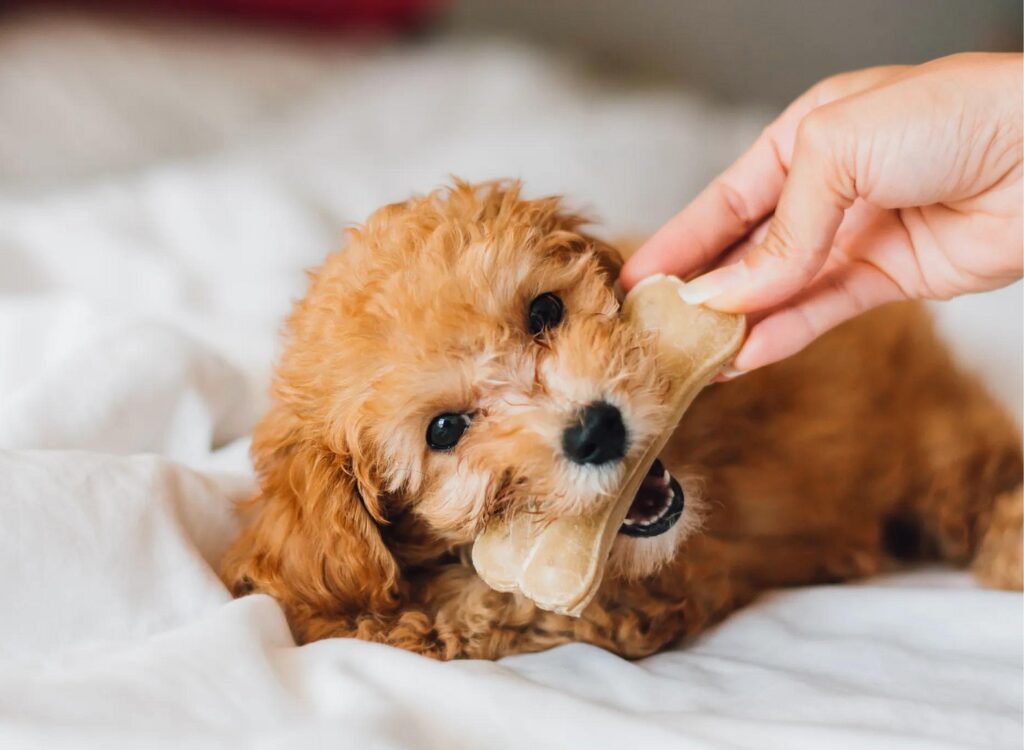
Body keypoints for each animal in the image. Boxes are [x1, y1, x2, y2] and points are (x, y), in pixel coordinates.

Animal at [220, 178, 1019, 659]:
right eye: (444, 430)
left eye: (545, 310)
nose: (597, 428)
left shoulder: (655, 591)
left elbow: (496, 607)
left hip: (938, 445)